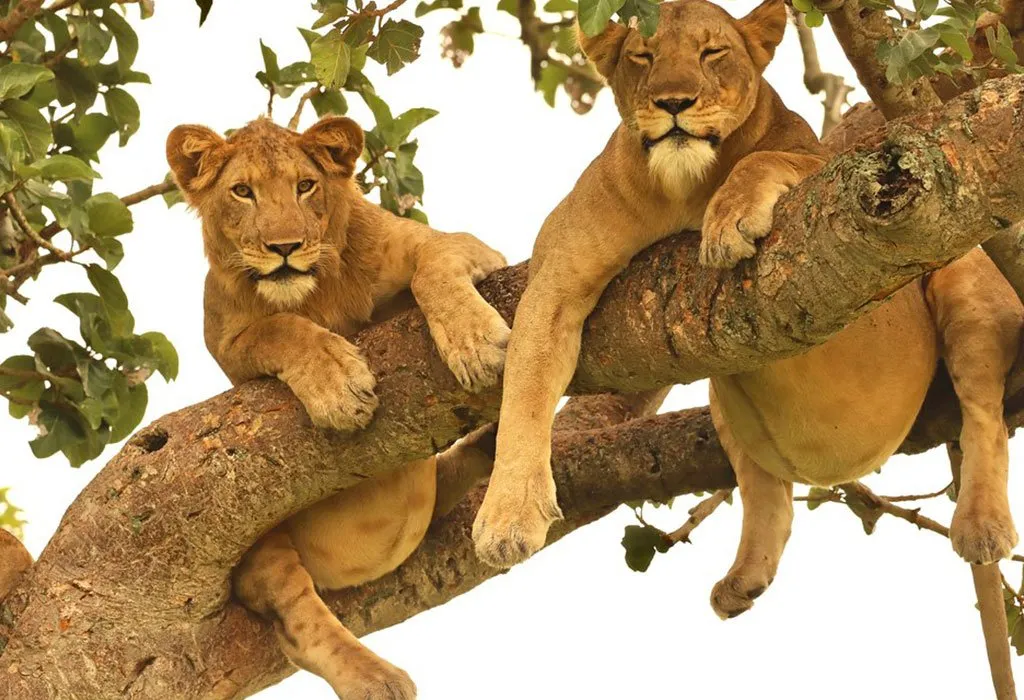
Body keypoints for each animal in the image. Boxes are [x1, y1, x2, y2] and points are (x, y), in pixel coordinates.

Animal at [166, 116, 509, 699]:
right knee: (298, 624)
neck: (313, 293)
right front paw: (339, 386)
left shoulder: (453, 245)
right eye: (242, 191)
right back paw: (377, 680)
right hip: (266, 550)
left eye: (305, 186)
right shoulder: (230, 348)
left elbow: (435, 267)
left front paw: (476, 343)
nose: (285, 247)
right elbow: (279, 328)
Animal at [471, 0, 1022, 686]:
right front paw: (508, 518)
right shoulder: (554, 284)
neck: (682, 189)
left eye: (713, 53)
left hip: (961, 273)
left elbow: (766, 161)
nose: (674, 101)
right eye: (642, 56)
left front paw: (729, 219)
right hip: (727, 392)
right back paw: (743, 580)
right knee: (768, 491)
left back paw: (982, 524)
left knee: (983, 414)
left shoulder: (849, 186)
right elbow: (524, 387)